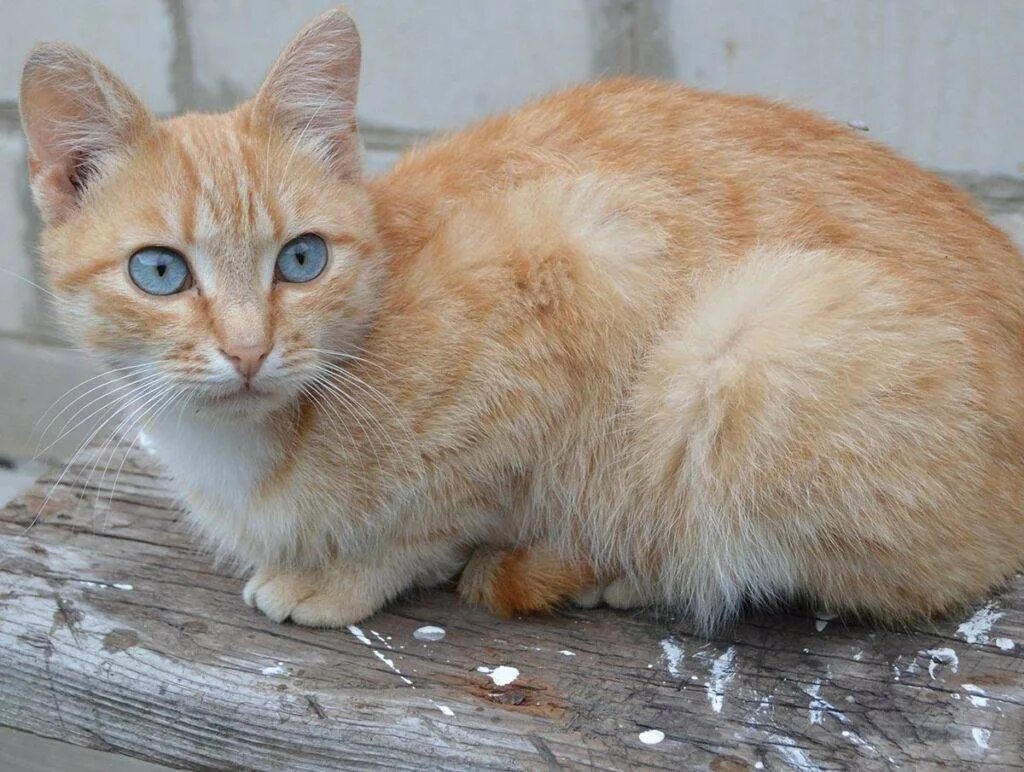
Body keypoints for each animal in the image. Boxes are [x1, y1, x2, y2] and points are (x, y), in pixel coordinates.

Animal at [19, 7, 1024, 630]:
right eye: (160, 272)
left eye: (301, 260)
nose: (248, 349)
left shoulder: (584, 258)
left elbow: (439, 514)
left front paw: (344, 576)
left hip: (743, 351)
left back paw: (624, 571)